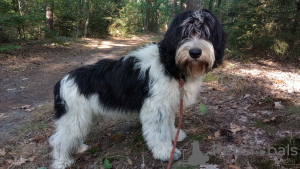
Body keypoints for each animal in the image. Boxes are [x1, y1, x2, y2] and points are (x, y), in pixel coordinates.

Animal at [50, 9, 226, 169]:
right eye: (184, 35)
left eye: (206, 34)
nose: (195, 52)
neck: (170, 64)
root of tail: (63, 81)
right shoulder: (155, 107)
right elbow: (158, 132)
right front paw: (166, 152)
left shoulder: (168, 103)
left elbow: (169, 123)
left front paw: (174, 135)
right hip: (74, 116)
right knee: (59, 139)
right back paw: (62, 161)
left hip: (81, 116)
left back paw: (78, 147)